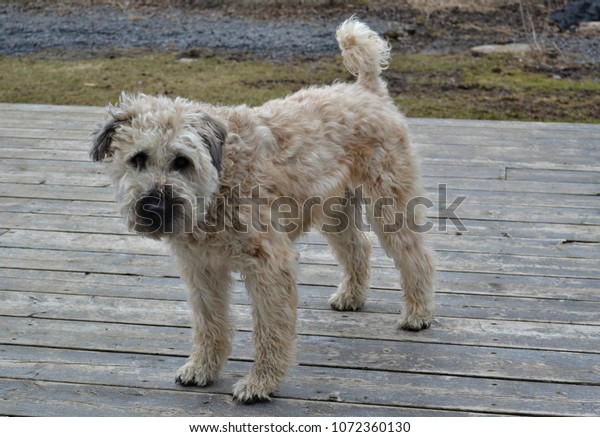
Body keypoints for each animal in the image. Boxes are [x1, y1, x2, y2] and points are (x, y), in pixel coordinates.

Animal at [91, 18, 434, 404]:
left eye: (181, 161)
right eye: (137, 159)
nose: (153, 205)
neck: (219, 184)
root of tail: (367, 88)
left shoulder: (269, 265)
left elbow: (270, 329)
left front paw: (260, 383)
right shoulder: (202, 268)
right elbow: (209, 323)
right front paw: (202, 368)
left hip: (390, 203)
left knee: (416, 257)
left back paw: (417, 313)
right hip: (335, 210)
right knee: (358, 246)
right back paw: (351, 296)